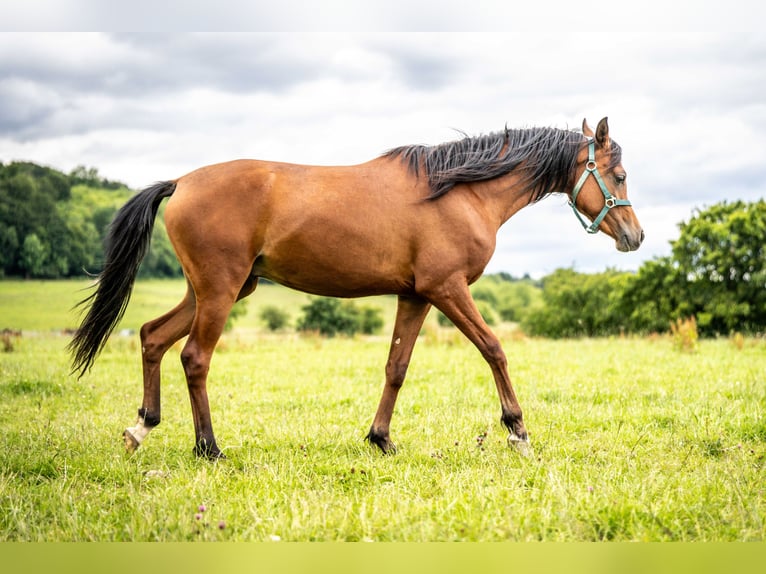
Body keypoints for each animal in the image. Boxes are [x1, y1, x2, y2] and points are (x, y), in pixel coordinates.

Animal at [69, 118, 644, 464]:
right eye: (618, 173)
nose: (635, 236)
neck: (460, 191)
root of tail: (182, 182)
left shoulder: (416, 296)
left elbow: (396, 367)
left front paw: (380, 438)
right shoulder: (448, 289)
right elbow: (494, 349)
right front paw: (517, 432)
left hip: (217, 290)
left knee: (151, 336)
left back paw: (142, 427)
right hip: (220, 291)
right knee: (194, 357)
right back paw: (208, 448)